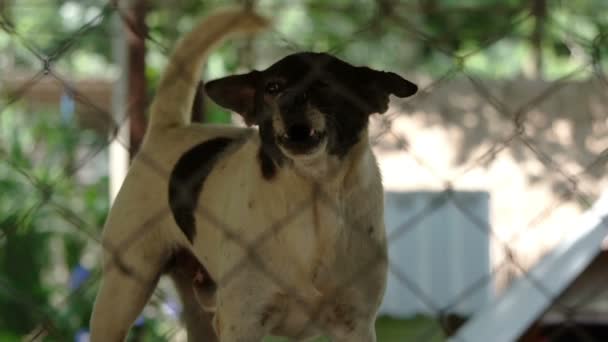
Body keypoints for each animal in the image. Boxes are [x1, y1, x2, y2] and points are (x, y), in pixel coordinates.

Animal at [90, 6, 416, 342]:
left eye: (325, 84)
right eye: (273, 88)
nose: (289, 101)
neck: (312, 196)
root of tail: (169, 129)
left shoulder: (355, 324)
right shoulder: (242, 322)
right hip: (124, 290)